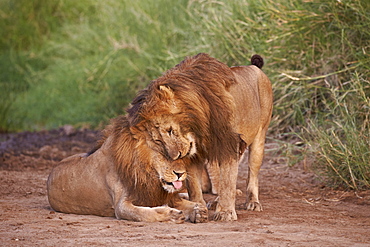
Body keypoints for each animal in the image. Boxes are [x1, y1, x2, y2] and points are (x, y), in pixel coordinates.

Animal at [46, 116, 208, 224]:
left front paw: (198, 211)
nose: (181, 174)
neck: (145, 173)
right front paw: (171, 214)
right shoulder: (120, 206)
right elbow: (142, 214)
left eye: (182, 155)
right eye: (164, 154)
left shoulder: (160, 195)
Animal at [125, 53, 274, 221]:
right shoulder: (195, 155)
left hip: (259, 137)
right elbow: (195, 185)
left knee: (251, 174)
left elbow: (227, 182)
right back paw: (215, 203)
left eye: (170, 130)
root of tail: (254, 67)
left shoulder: (228, 143)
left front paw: (226, 212)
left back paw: (252, 202)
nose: (176, 155)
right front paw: (197, 208)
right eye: (157, 140)